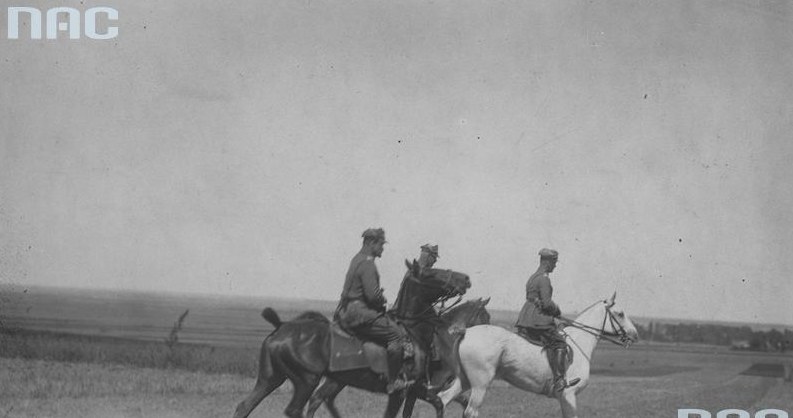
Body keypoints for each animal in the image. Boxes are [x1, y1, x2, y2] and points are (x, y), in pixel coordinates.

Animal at [304, 298, 486, 418]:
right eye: (486, 317)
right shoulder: (415, 390)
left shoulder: (419, 390)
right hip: (337, 380)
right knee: (318, 399)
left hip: (339, 380)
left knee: (323, 399)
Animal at [436, 294, 640, 418]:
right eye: (620, 314)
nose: (635, 335)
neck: (579, 341)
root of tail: (466, 332)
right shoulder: (569, 395)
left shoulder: (565, 398)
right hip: (480, 384)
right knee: (470, 411)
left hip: (464, 380)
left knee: (443, 399)